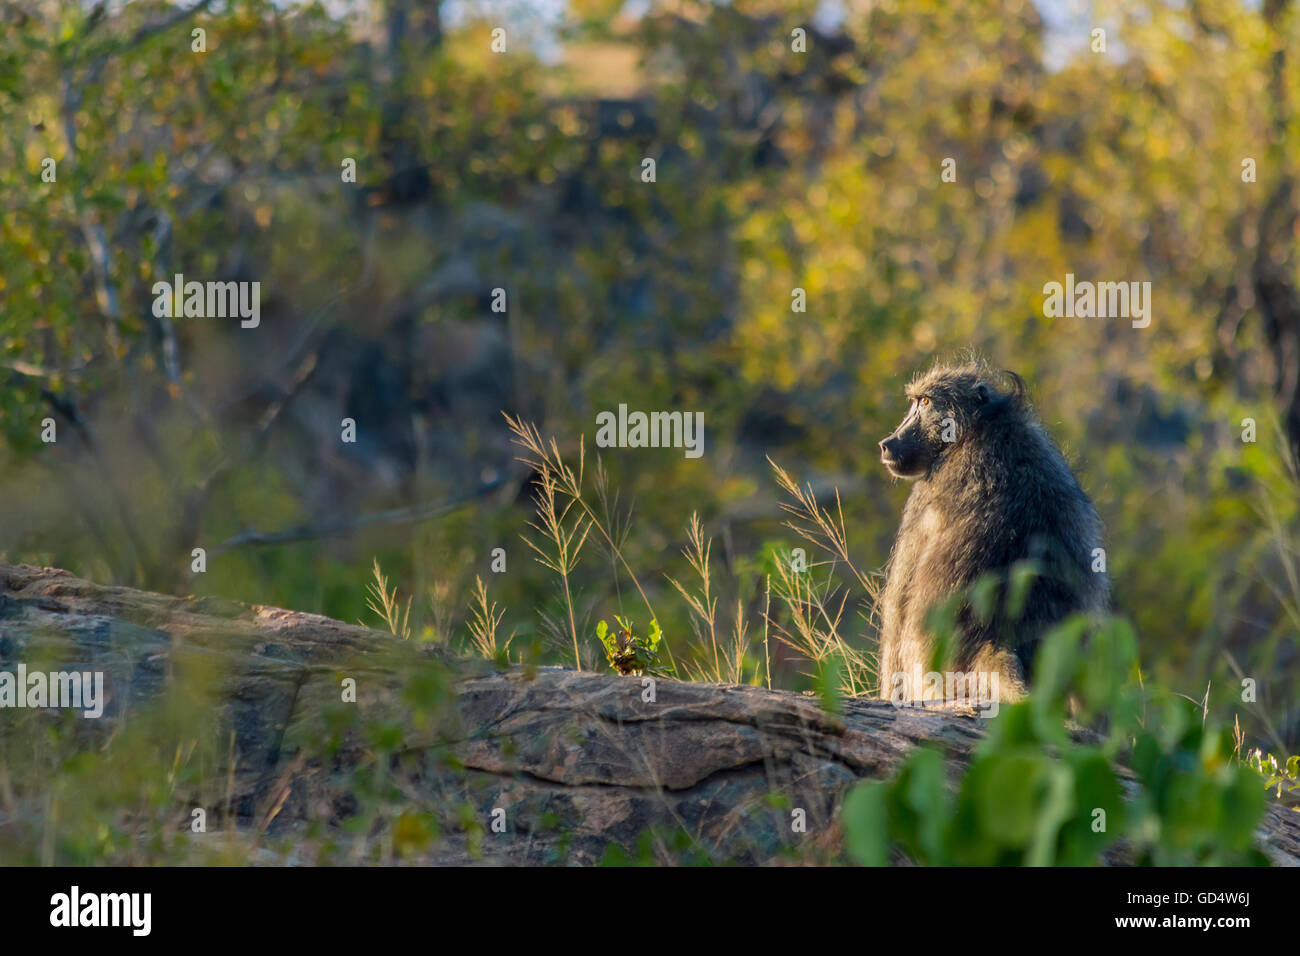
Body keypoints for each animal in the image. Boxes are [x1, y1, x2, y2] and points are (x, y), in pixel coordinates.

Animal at [875, 360, 1109, 704]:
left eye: (925, 402)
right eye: (916, 402)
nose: (888, 442)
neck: (981, 427)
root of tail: (996, 636)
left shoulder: (923, 498)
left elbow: (896, 609)